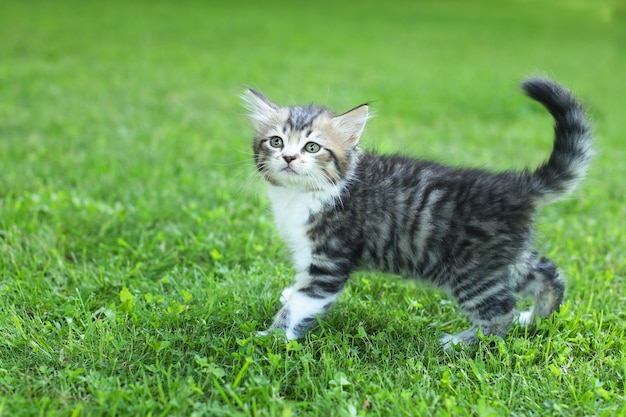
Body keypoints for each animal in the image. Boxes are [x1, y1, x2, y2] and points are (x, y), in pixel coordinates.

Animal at [243, 78, 588, 348]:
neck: (301, 194)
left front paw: (269, 338)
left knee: (501, 310)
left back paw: (461, 343)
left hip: (471, 271)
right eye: (276, 142)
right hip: (504, 261)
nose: (288, 157)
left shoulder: (328, 260)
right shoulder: (307, 254)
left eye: (312, 147)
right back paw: (536, 317)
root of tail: (516, 184)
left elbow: (302, 303)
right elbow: (298, 293)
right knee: (547, 272)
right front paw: (286, 300)